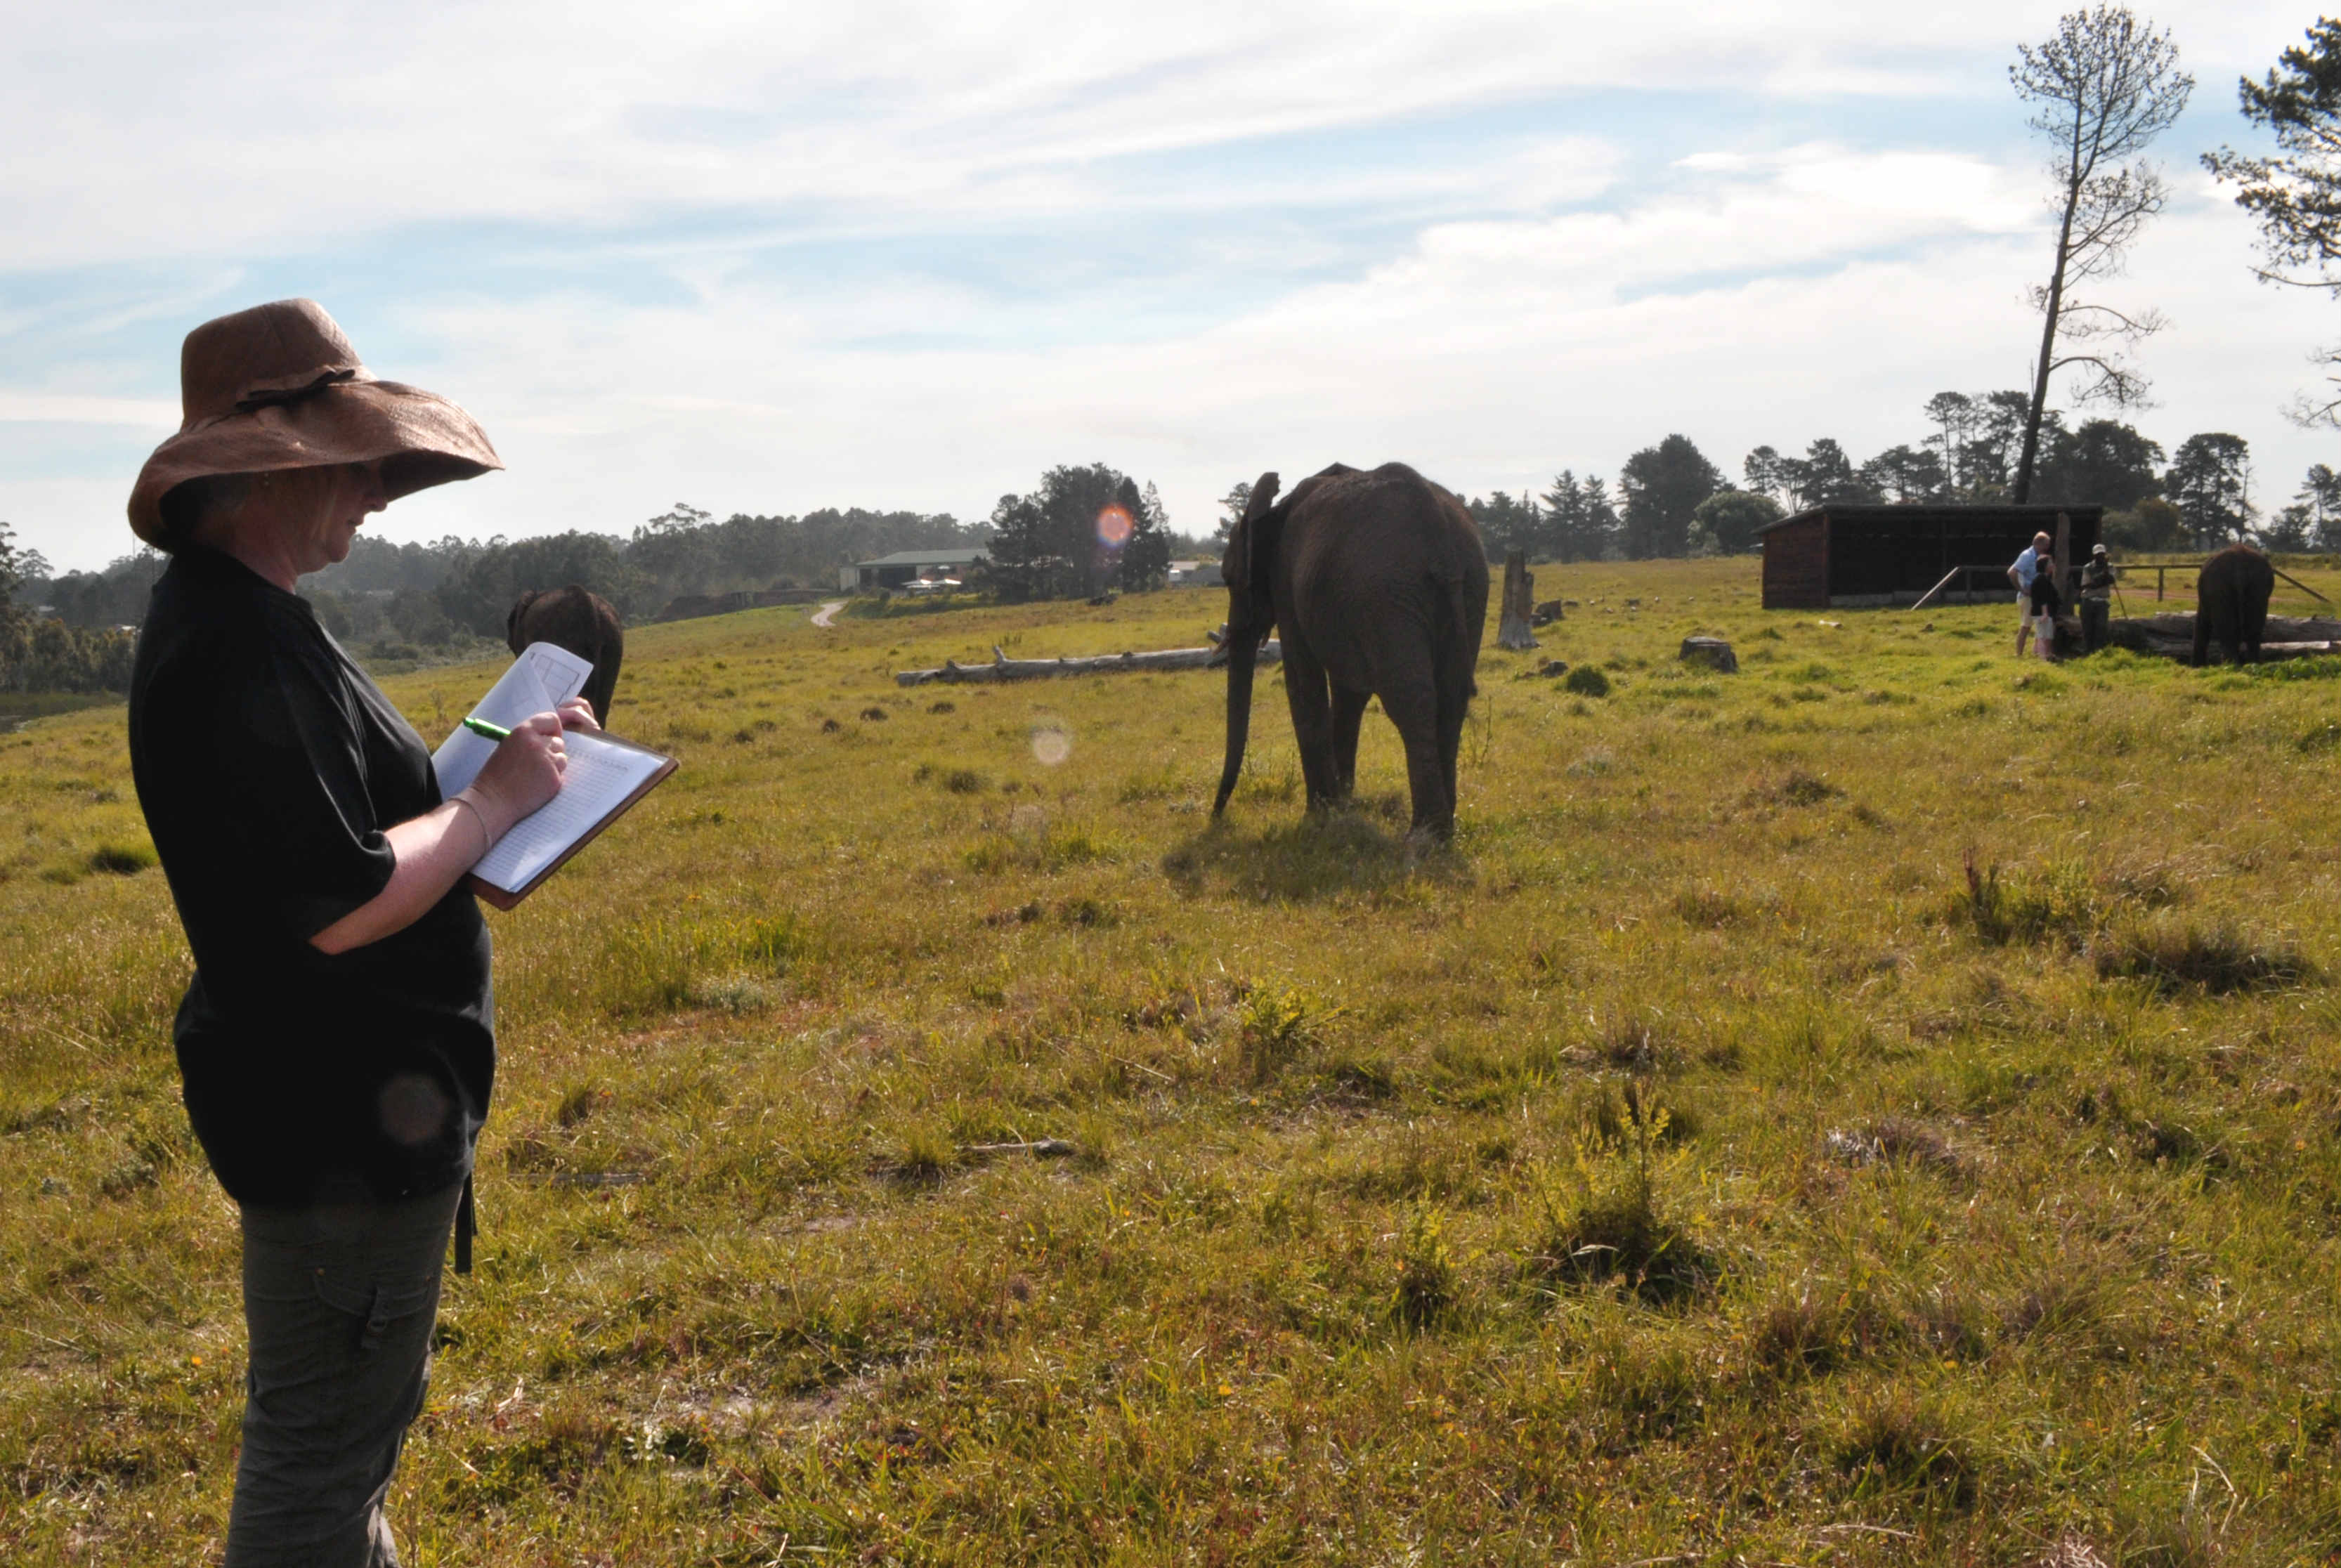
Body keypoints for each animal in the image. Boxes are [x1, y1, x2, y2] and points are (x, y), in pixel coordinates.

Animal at [1217, 461, 1489, 842]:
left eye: (1228, 579)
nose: (1216, 817)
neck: (1275, 508)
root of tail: (1438, 529)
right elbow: (1349, 693)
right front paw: (1342, 806)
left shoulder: (1287, 579)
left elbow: (1303, 679)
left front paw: (1319, 816)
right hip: (1467, 587)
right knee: (1452, 698)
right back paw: (1444, 827)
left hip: (1387, 593)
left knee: (1410, 701)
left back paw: (1425, 835)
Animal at [2182, 547, 2275, 669]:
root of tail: (2240, 565)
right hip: (2258, 587)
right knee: (2253, 630)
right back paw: (2251, 664)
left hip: (2218, 587)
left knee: (2228, 630)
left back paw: (2231, 666)